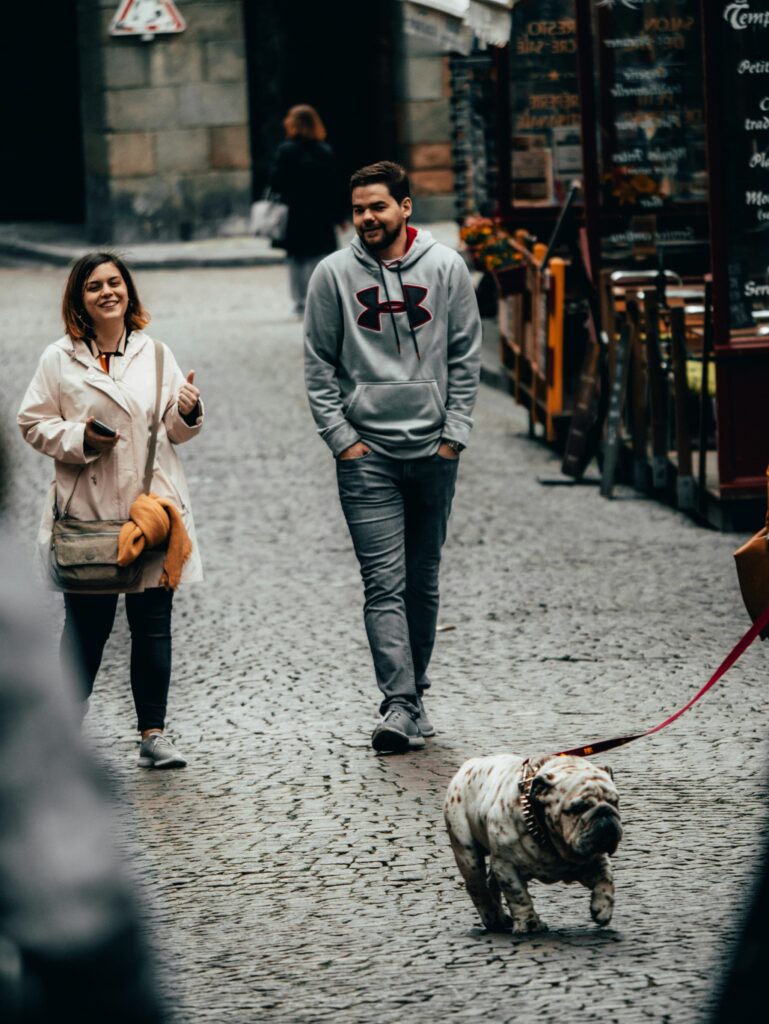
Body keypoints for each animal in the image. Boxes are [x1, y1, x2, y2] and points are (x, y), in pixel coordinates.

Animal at [444, 753, 622, 934]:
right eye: (579, 807)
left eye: (614, 802)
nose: (604, 812)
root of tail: (468, 765)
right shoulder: (506, 866)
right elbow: (518, 895)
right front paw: (529, 923)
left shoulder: (594, 859)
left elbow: (606, 879)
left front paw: (602, 909)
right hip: (468, 855)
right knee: (478, 888)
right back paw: (492, 918)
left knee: (491, 883)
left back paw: (501, 918)